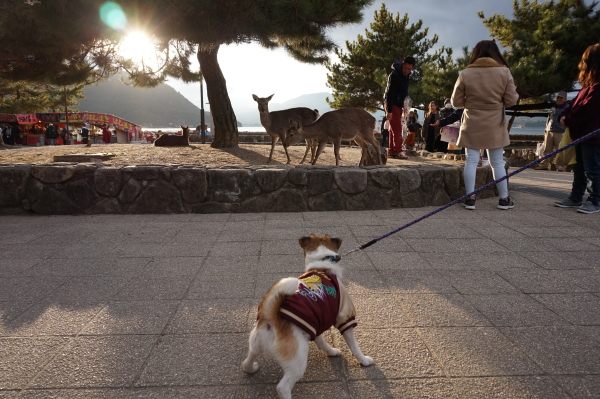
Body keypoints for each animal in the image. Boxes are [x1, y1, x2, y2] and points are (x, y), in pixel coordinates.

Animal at [241, 234, 372, 399]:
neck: (321, 265)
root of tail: (271, 317)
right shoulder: (344, 316)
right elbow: (354, 346)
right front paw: (364, 360)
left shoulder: (313, 324)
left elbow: (321, 342)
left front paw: (332, 351)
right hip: (298, 360)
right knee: (283, 387)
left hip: (256, 344)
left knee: (246, 363)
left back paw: (251, 368)